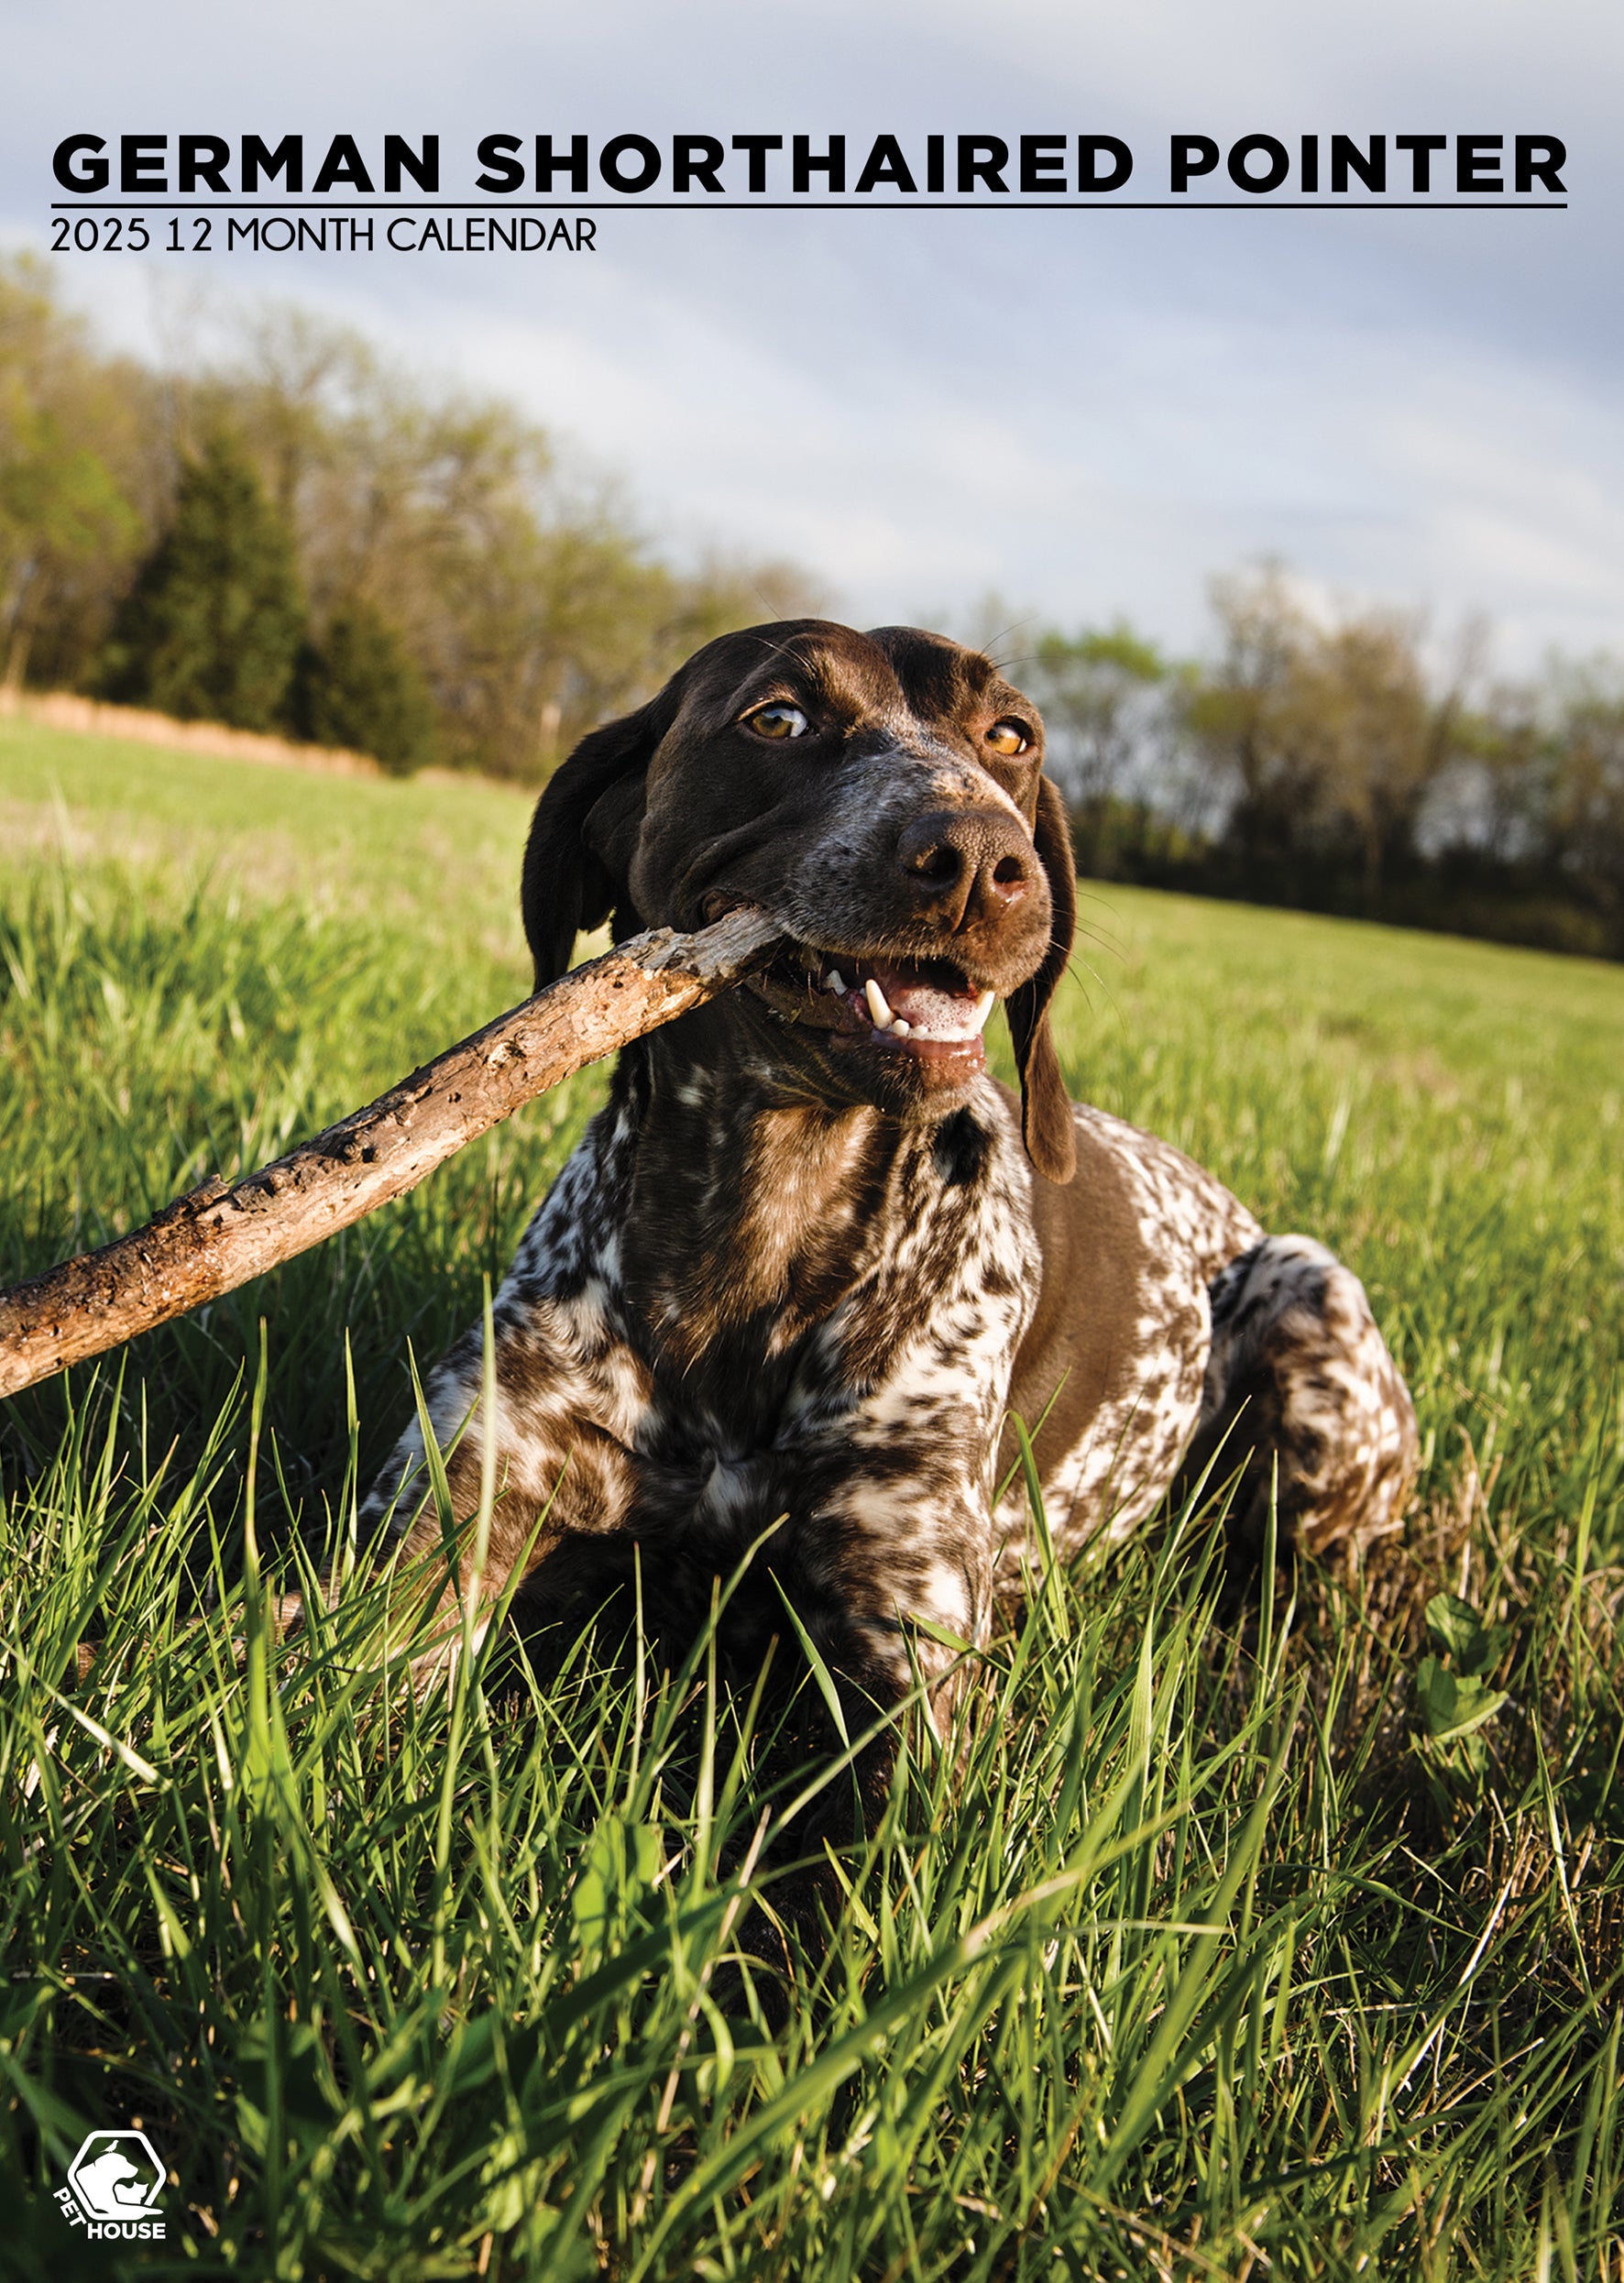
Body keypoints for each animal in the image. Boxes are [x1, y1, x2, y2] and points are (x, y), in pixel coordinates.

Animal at [358, 616, 1425, 1717]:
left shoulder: (907, 1637)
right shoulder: (445, 1519)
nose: (980, 856)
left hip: (1311, 1293)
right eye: (777, 717)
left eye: (1011, 735)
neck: (765, 1215)